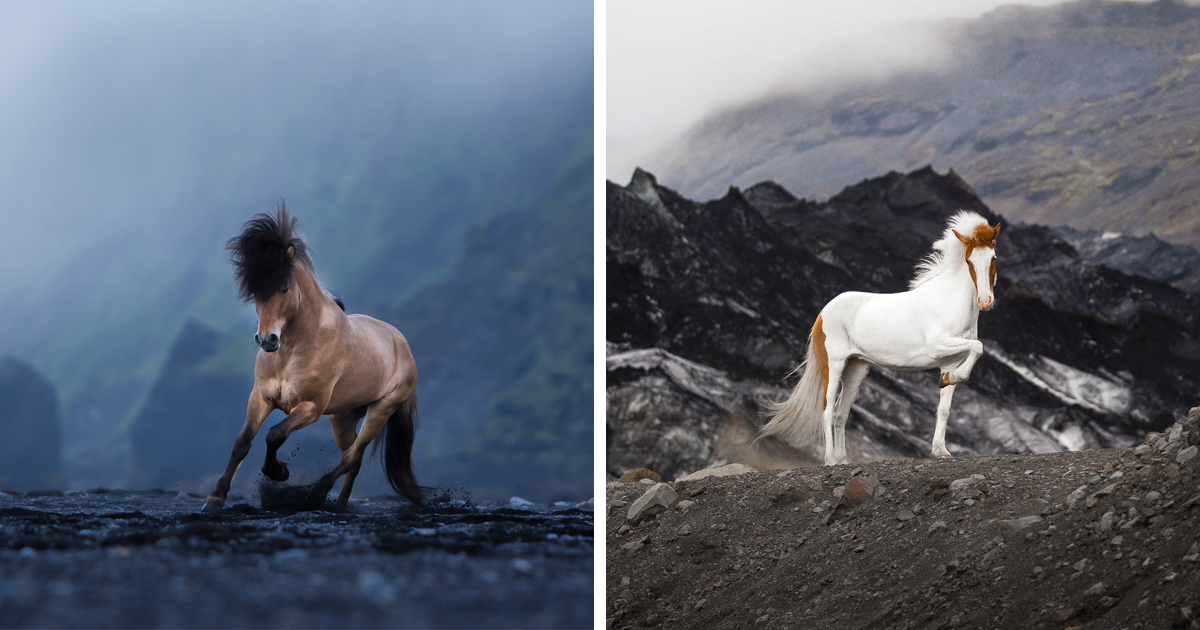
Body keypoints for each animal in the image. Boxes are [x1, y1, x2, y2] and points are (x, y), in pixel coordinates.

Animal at [202, 204, 424, 512]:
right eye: (255, 291)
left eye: (284, 287)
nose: (267, 339)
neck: (292, 352)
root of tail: (401, 343)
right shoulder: (260, 397)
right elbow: (242, 442)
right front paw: (216, 497)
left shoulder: (311, 407)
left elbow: (276, 434)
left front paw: (279, 472)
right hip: (342, 418)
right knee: (352, 457)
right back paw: (340, 503)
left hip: (381, 409)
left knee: (353, 455)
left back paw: (317, 494)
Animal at [761, 211, 1000, 465]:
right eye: (969, 262)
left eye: (993, 258)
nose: (985, 301)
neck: (951, 300)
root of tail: (821, 315)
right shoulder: (937, 345)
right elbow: (978, 347)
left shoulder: (950, 361)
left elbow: (944, 408)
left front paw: (941, 449)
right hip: (834, 366)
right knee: (827, 410)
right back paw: (831, 461)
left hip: (856, 369)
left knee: (840, 413)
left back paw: (843, 460)